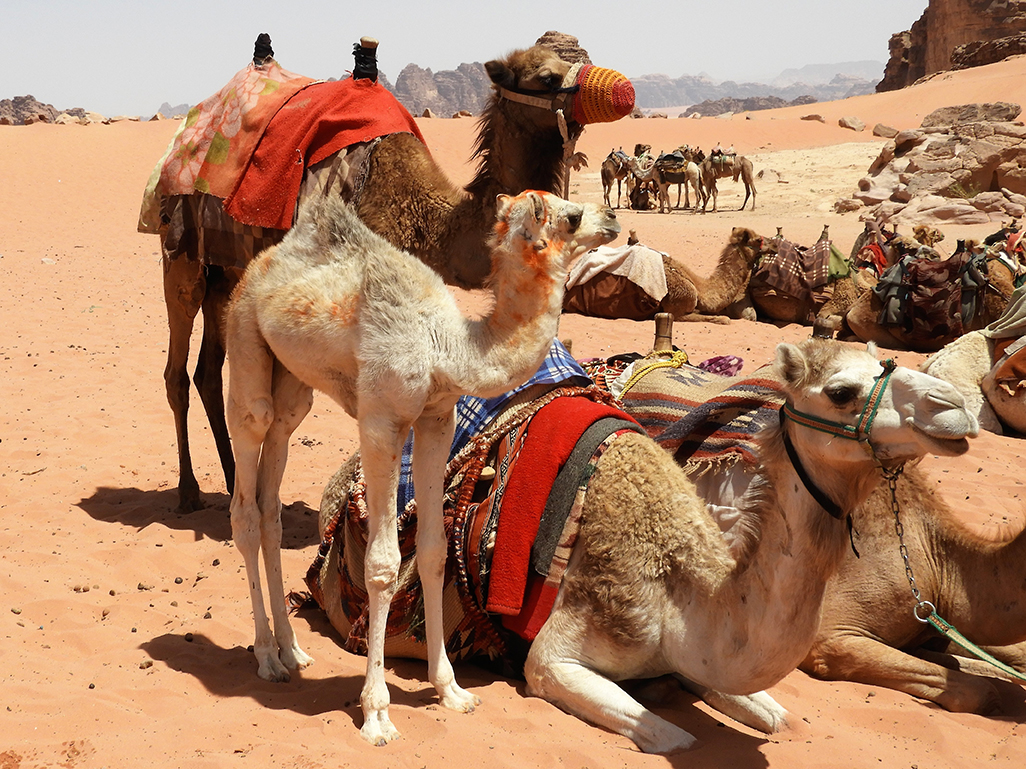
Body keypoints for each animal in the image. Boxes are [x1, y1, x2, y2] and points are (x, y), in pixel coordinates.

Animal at [150, 42, 632, 512]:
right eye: (547, 77)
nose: (623, 91)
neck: (430, 221)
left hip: (226, 274)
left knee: (208, 372)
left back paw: (233, 481)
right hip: (181, 253)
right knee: (177, 371)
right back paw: (189, 492)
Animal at [224, 191, 615, 746]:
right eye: (570, 216)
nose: (614, 219)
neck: (447, 347)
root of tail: (263, 262)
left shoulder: (436, 416)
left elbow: (432, 551)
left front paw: (450, 689)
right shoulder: (381, 420)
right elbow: (383, 566)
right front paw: (377, 713)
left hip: (292, 383)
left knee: (272, 491)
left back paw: (293, 651)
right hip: (244, 335)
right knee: (247, 496)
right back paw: (266, 657)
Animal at [311, 336, 976, 754]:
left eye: (887, 362)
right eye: (841, 391)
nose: (954, 409)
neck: (681, 593)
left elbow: (782, 718)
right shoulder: (555, 656)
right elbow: (675, 735)